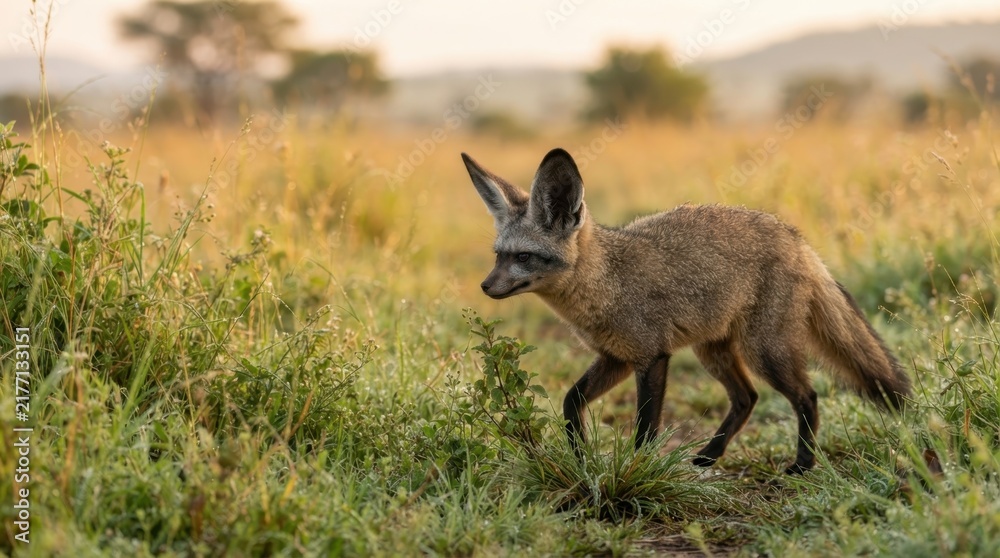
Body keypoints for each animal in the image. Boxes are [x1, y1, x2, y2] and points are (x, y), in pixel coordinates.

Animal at [461, 147, 912, 474]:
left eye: (523, 257)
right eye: (498, 256)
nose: (485, 286)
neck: (607, 282)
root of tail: (798, 240)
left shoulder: (652, 357)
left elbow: (645, 428)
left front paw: (637, 470)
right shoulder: (616, 357)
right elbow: (572, 401)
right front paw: (580, 455)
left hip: (764, 352)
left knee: (807, 395)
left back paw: (802, 464)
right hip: (713, 352)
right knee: (747, 398)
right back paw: (710, 455)